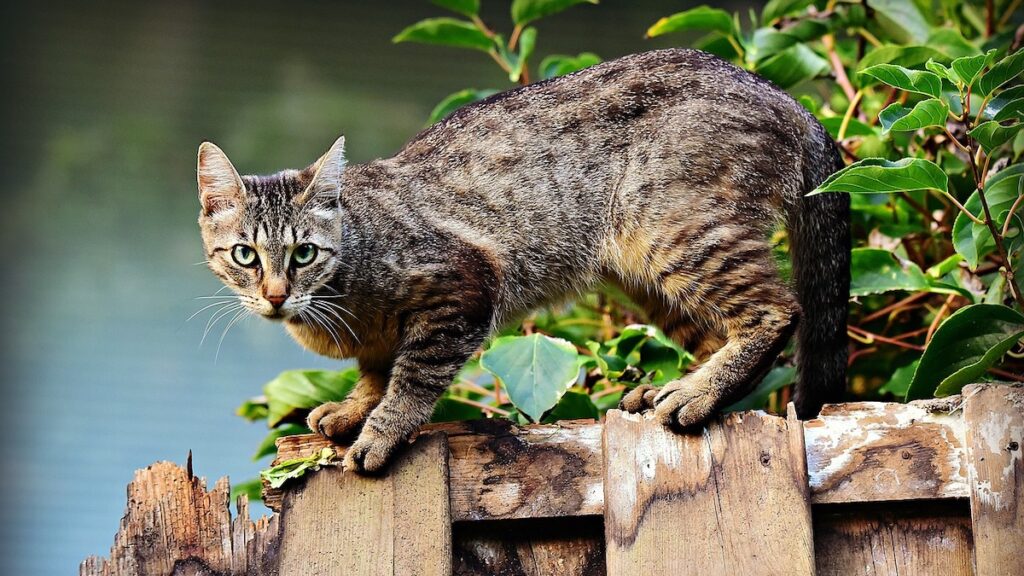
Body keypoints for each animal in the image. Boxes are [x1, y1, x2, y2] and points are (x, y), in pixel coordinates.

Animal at [193, 48, 847, 471]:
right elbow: (375, 372)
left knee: (777, 311)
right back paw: (674, 387)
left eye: (303, 253)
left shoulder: (462, 288)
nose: (275, 295)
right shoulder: (380, 340)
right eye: (245, 255)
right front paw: (354, 408)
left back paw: (696, 394)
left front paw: (381, 430)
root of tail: (784, 96)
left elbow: (412, 378)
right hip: (642, 272)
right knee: (717, 332)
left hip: (675, 230)